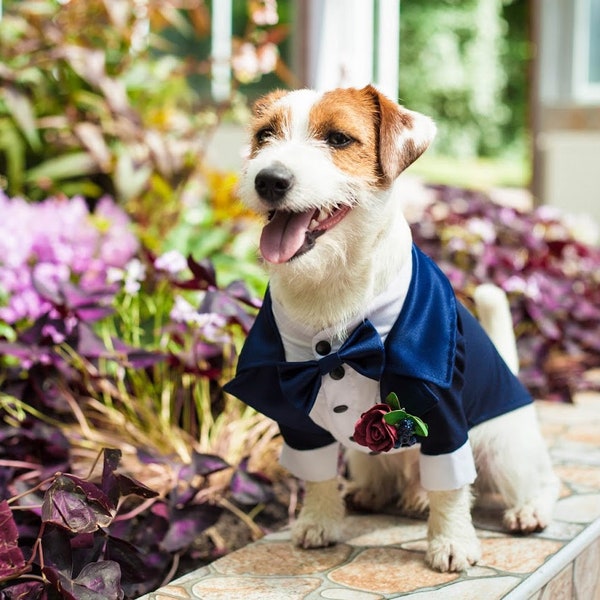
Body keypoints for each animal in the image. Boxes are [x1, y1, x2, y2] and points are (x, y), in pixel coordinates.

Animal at [224, 84, 556, 572]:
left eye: (339, 139)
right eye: (264, 135)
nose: (269, 180)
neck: (331, 291)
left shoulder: (442, 409)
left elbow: (450, 485)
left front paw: (451, 540)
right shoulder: (295, 413)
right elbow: (316, 474)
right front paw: (318, 521)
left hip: (504, 446)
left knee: (532, 481)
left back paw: (526, 508)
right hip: (364, 457)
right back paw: (373, 493)